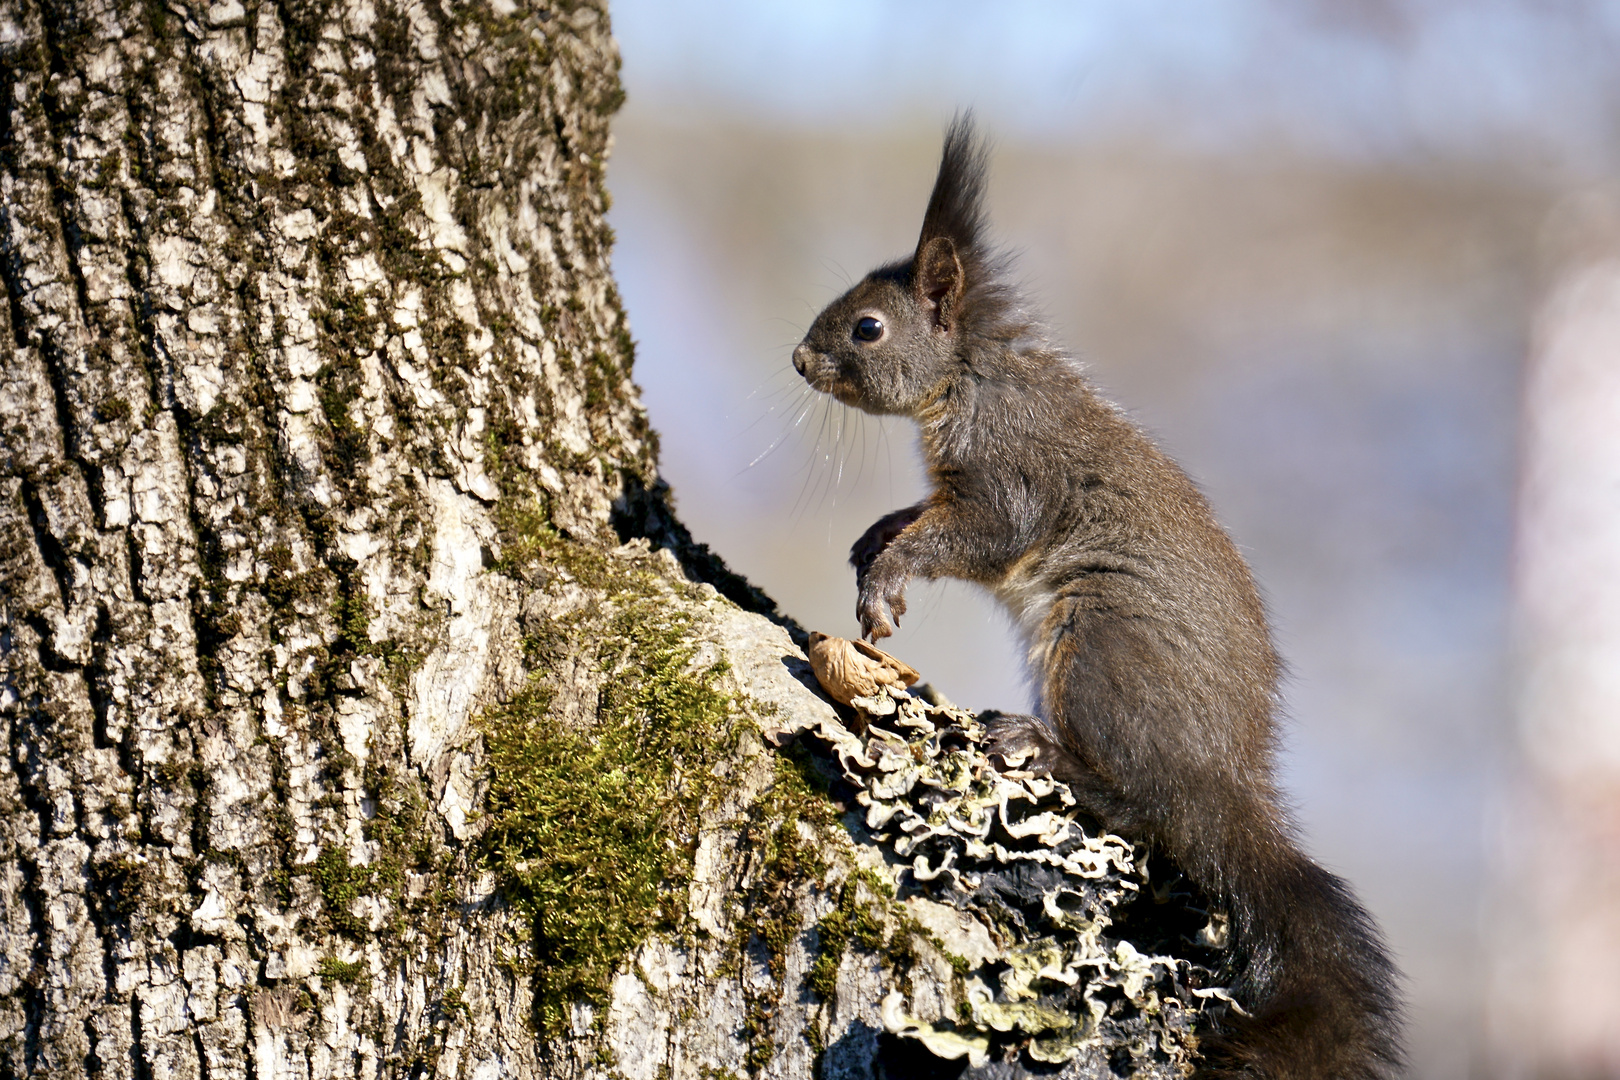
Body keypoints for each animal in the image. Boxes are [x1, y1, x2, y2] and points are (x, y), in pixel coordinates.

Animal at [790, 118, 1399, 1080]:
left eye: (868, 326)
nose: (800, 358)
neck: (970, 375)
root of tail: (1226, 780)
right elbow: (919, 515)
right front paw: (872, 541)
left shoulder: (1008, 478)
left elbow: (972, 537)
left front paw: (889, 572)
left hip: (1101, 652)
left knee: (1144, 802)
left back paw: (1040, 747)